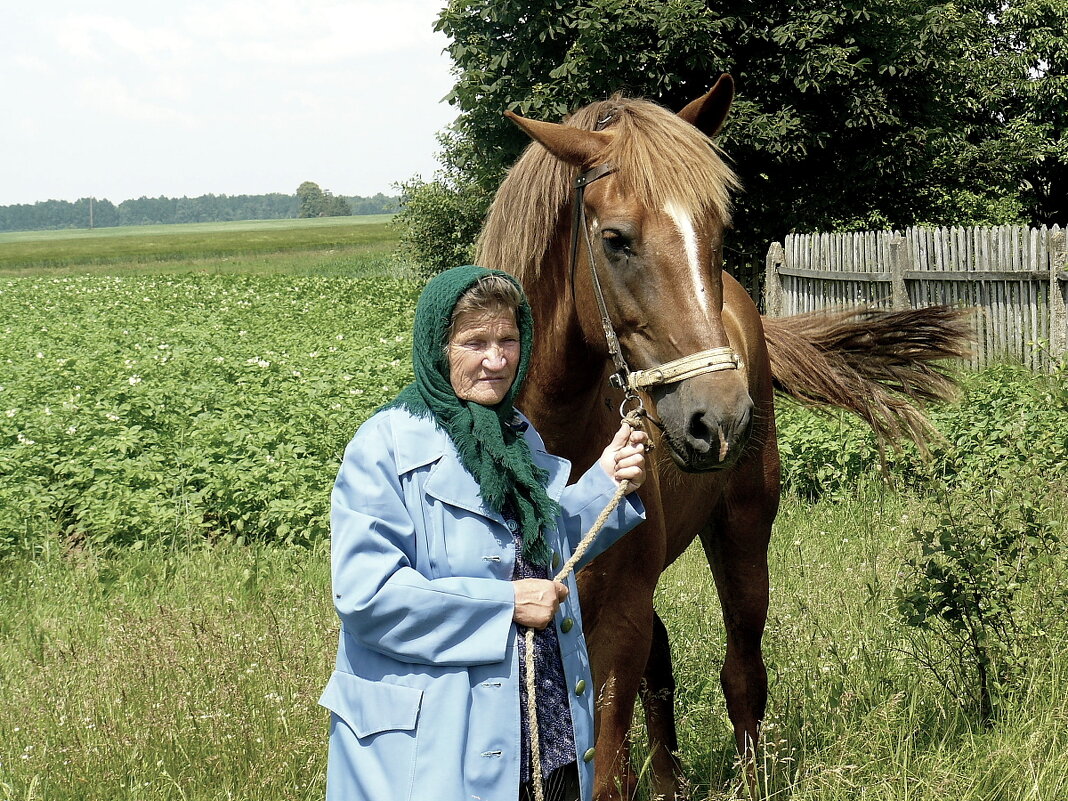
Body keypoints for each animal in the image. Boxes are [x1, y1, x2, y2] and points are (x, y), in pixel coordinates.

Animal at [476, 73, 969, 798]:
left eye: (716, 228)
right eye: (616, 238)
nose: (720, 420)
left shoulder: (616, 622)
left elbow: (608, 771)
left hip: (742, 534)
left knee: (741, 671)